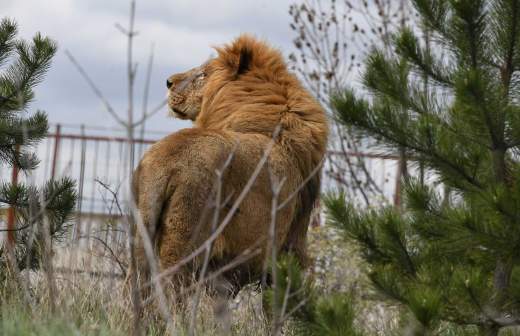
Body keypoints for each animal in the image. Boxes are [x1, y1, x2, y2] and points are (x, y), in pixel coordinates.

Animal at [134, 35, 330, 296]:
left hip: (141, 242)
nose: (168, 82)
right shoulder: (286, 252)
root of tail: (165, 162)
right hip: (185, 247)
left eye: (203, 74)